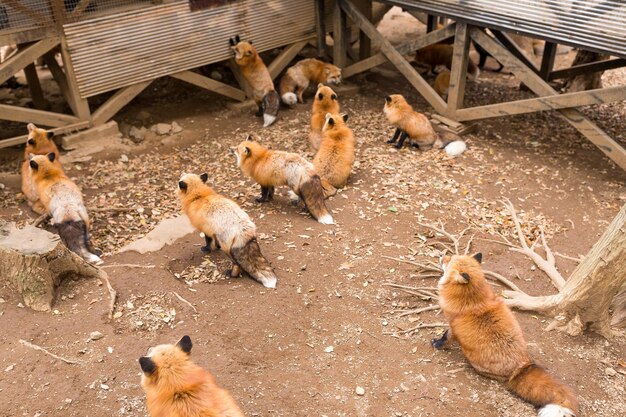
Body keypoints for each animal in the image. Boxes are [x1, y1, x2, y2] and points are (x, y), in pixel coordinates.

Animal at [434, 254, 576, 416]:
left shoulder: (452, 325)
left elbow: (446, 338)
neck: (471, 298)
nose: (441, 255)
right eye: (451, 257)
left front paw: (437, 344)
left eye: (449, 261)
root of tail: (520, 367)